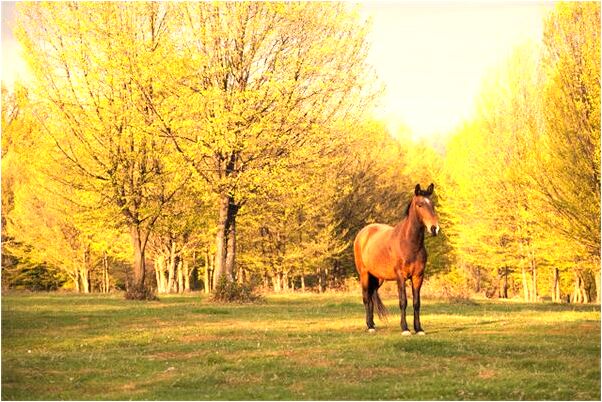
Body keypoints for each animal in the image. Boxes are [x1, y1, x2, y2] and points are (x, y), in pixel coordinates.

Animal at [352, 184, 440, 334]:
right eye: (420, 204)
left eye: (432, 204)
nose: (435, 228)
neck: (409, 243)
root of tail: (362, 233)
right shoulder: (400, 277)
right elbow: (403, 301)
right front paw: (405, 328)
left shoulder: (418, 276)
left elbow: (416, 302)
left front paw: (418, 328)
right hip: (364, 274)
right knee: (366, 298)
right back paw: (369, 326)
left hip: (378, 278)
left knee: (371, 297)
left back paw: (373, 323)